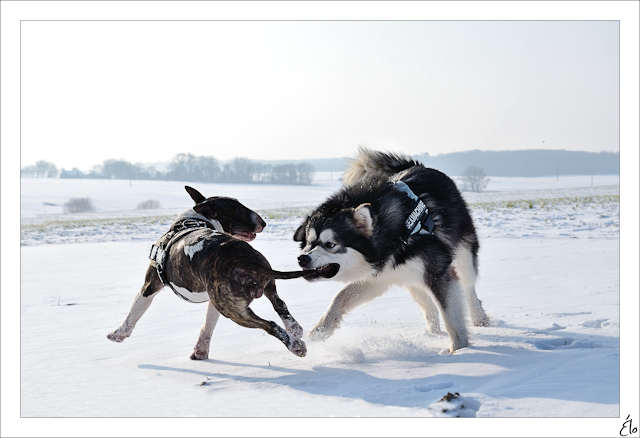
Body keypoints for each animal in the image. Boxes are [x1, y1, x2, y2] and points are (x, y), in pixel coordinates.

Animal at [296, 149, 490, 354]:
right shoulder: (380, 276)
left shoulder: (438, 272)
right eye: (308, 243)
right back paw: (432, 333)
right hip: (410, 276)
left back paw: (479, 317)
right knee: (427, 303)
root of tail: (419, 166)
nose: (302, 259)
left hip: (463, 256)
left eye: (330, 244)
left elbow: (451, 317)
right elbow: (341, 296)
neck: (394, 239)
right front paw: (321, 329)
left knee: (468, 287)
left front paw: (458, 350)